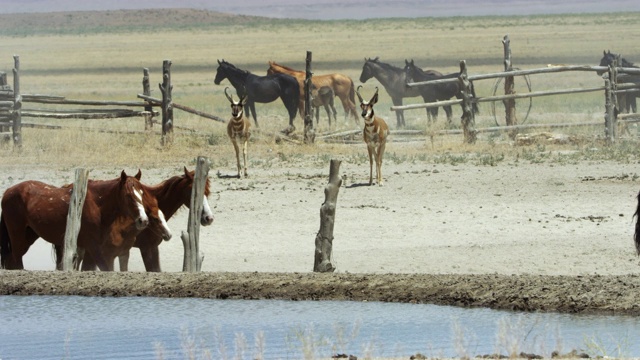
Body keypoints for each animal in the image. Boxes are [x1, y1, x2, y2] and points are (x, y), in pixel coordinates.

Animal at [0, 171, 170, 270]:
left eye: (142, 193)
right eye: (129, 195)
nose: (143, 220)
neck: (97, 205)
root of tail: (8, 191)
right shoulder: (95, 248)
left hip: (28, 237)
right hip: (17, 238)